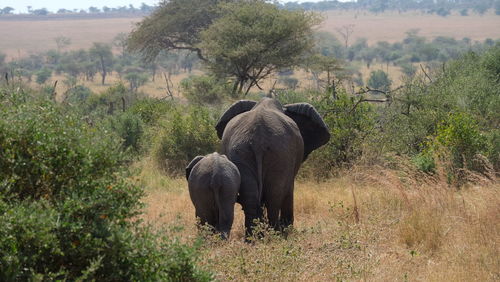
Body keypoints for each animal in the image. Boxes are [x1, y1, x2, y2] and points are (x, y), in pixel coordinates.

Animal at [216, 98, 330, 235]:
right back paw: (276, 233)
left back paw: (254, 237)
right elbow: (289, 190)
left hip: (241, 151)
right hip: (280, 154)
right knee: (274, 197)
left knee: (252, 198)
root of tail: (257, 140)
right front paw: (287, 230)